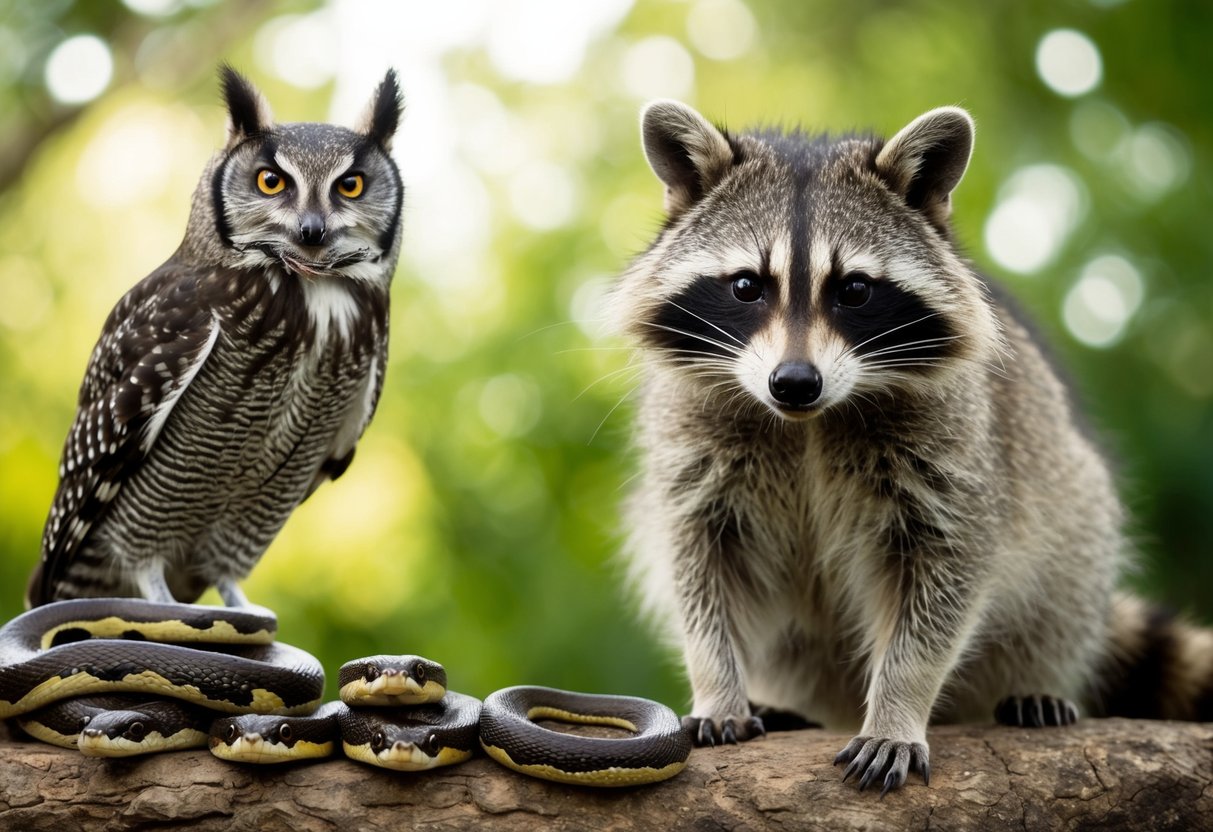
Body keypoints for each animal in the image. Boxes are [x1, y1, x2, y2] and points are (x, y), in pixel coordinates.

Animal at [611, 100, 1213, 795]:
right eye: (745, 286)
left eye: (853, 290)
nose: (794, 382)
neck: (808, 422)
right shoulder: (694, 449)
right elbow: (699, 569)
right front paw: (717, 686)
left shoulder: (955, 454)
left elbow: (944, 580)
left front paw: (898, 708)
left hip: (1071, 516)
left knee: (1066, 577)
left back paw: (1037, 683)